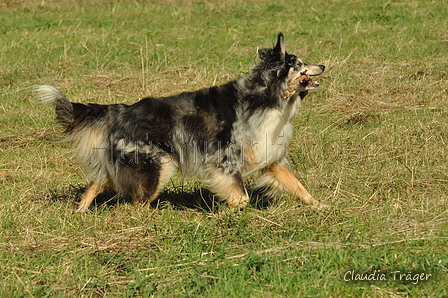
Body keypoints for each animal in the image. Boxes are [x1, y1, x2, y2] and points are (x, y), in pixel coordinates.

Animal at [33, 32, 324, 212]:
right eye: (300, 63)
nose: (322, 65)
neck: (266, 96)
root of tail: (120, 110)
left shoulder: (272, 157)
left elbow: (299, 187)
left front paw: (321, 206)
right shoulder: (224, 161)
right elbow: (241, 196)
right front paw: (230, 211)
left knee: (98, 182)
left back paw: (80, 211)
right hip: (157, 165)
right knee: (136, 203)